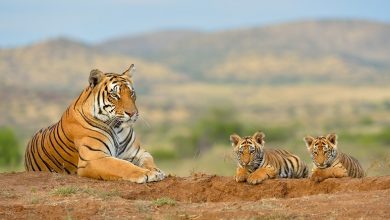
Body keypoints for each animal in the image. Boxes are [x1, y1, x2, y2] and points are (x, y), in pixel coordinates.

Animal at [24, 64, 165, 183]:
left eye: (131, 93)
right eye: (114, 95)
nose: (132, 113)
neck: (117, 127)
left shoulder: (139, 152)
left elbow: (149, 161)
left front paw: (156, 171)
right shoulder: (93, 157)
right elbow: (122, 165)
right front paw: (147, 174)